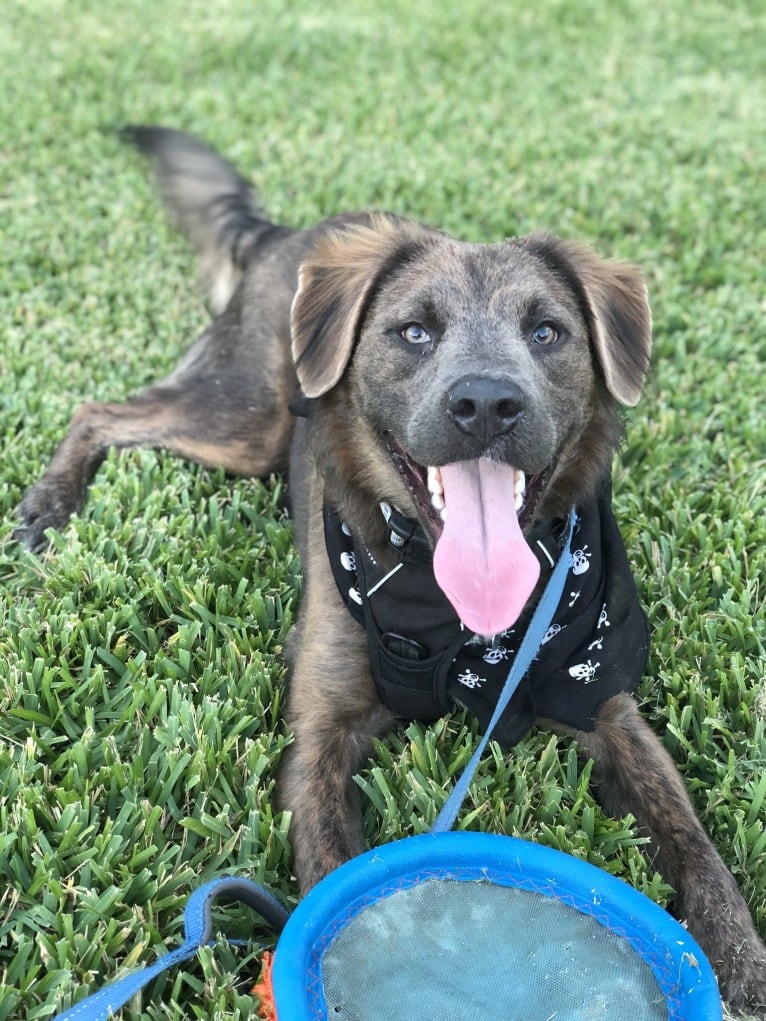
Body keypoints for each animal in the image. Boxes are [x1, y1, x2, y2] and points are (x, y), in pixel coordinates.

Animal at [13, 127, 766, 1012]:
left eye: (546, 332)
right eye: (414, 333)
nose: (488, 404)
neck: (458, 618)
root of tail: (285, 233)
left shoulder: (606, 706)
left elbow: (695, 842)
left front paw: (743, 958)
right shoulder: (321, 732)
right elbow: (330, 878)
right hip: (245, 418)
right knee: (99, 411)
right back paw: (49, 505)